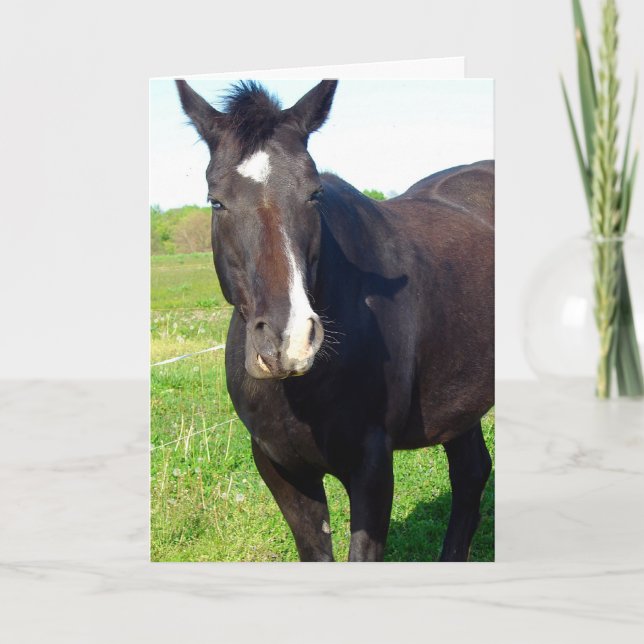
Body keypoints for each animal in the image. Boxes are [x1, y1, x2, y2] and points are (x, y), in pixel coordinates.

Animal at [175, 79, 494, 561]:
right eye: (216, 201)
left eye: (314, 193)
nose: (288, 342)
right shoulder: (281, 467)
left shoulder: (371, 469)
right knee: (471, 473)